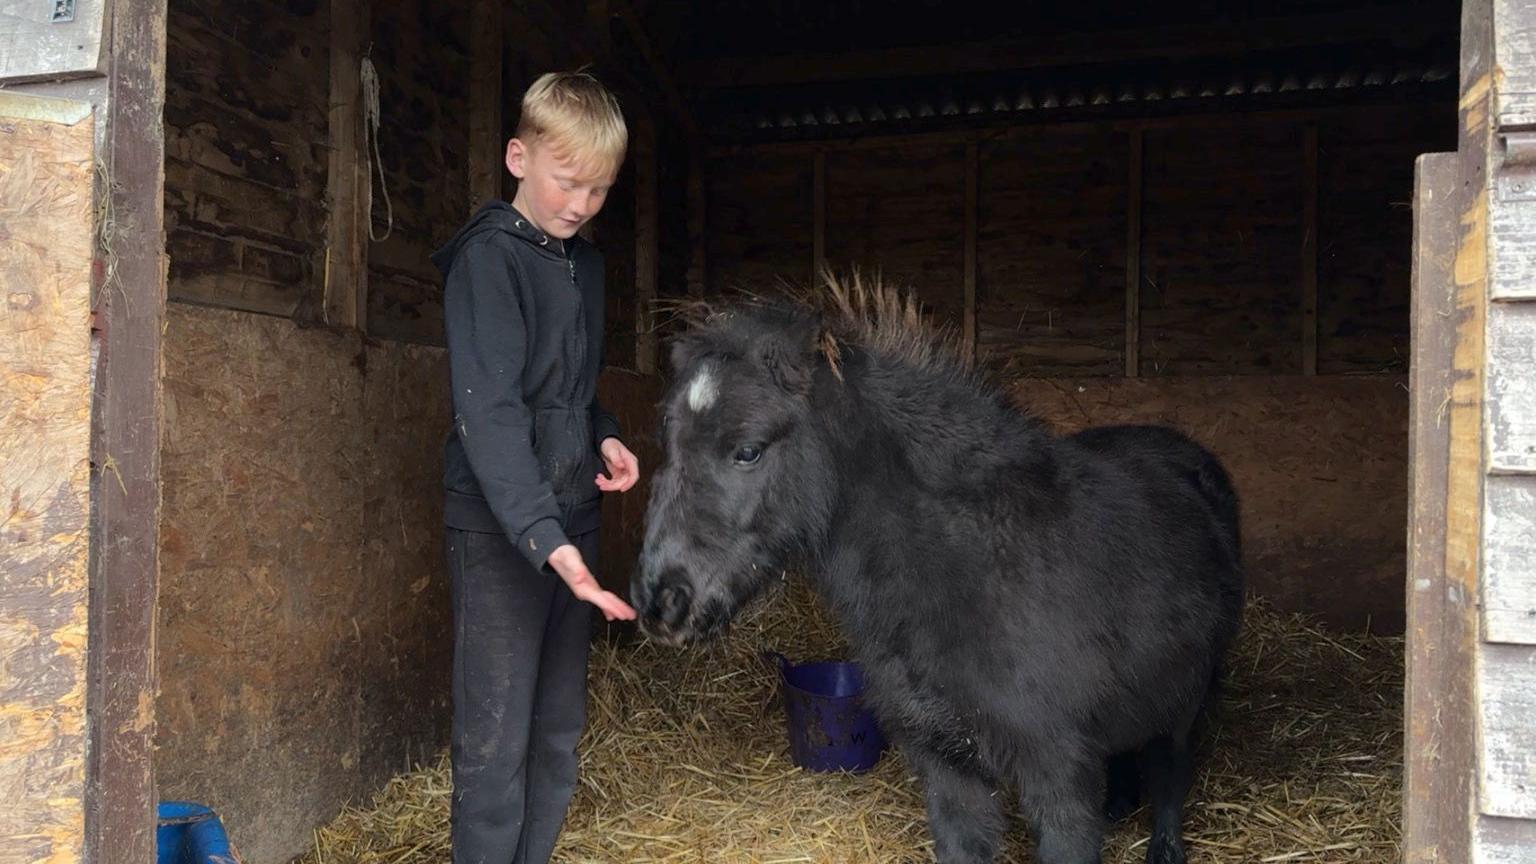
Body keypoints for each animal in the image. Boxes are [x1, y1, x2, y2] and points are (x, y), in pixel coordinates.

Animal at [635, 275, 1247, 860]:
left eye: (748, 450)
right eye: (669, 442)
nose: (661, 601)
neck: (970, 569)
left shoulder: (1062, 780)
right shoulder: (947, 767)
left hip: (1186, 702)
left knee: (1170, 773)